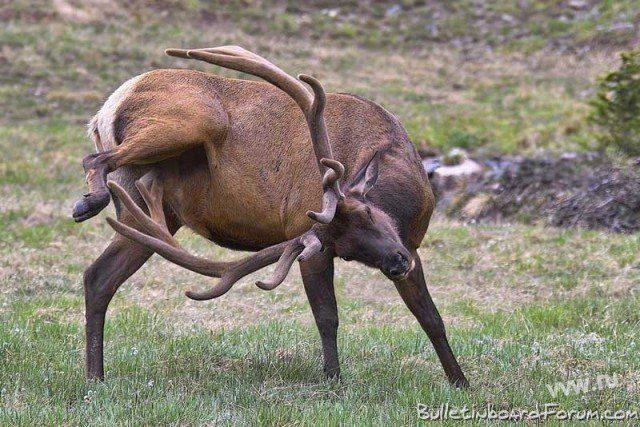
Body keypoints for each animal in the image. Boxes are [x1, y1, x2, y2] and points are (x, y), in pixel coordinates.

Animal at [73, 46, 468, 387]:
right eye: (346, 248)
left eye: (368, 212)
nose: (396, 262)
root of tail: (106, 110)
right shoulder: (309, 239)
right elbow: (327, 316)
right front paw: (333, 380)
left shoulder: (411, 245)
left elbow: (430, 317)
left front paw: (461, 382)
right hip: (194, 120)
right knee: (94, 161)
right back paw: (89, 202)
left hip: (150, 216)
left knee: (99, 275)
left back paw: (95, 377)